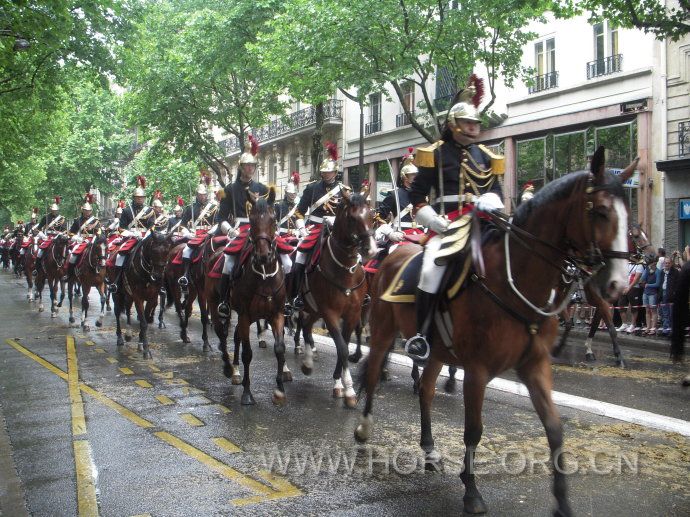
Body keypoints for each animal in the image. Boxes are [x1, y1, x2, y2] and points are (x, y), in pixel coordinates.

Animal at [292, 190, 374, 408]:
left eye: (371, 214)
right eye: (352, 218)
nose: (370, 249)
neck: (345, 271)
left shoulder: (352, 314)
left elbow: (342, 346)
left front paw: (339, 384)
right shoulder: (330, 314)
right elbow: (343, 349)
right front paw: (349, 389)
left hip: (314, 309)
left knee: (306, 327)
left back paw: (308, 362)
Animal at [354, 147, 628, 512]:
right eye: (600, 211)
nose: (619, 283)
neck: (514, 282)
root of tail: (392, 256)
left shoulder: (534, 365)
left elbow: (554, 428)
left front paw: (563, 502)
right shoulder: (478, 369)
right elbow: (473, 429)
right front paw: (471, 492)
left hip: (437, 349)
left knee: (426, 390)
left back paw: (429, 449)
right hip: (384, 329)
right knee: (372, 373)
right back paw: (364, 428)